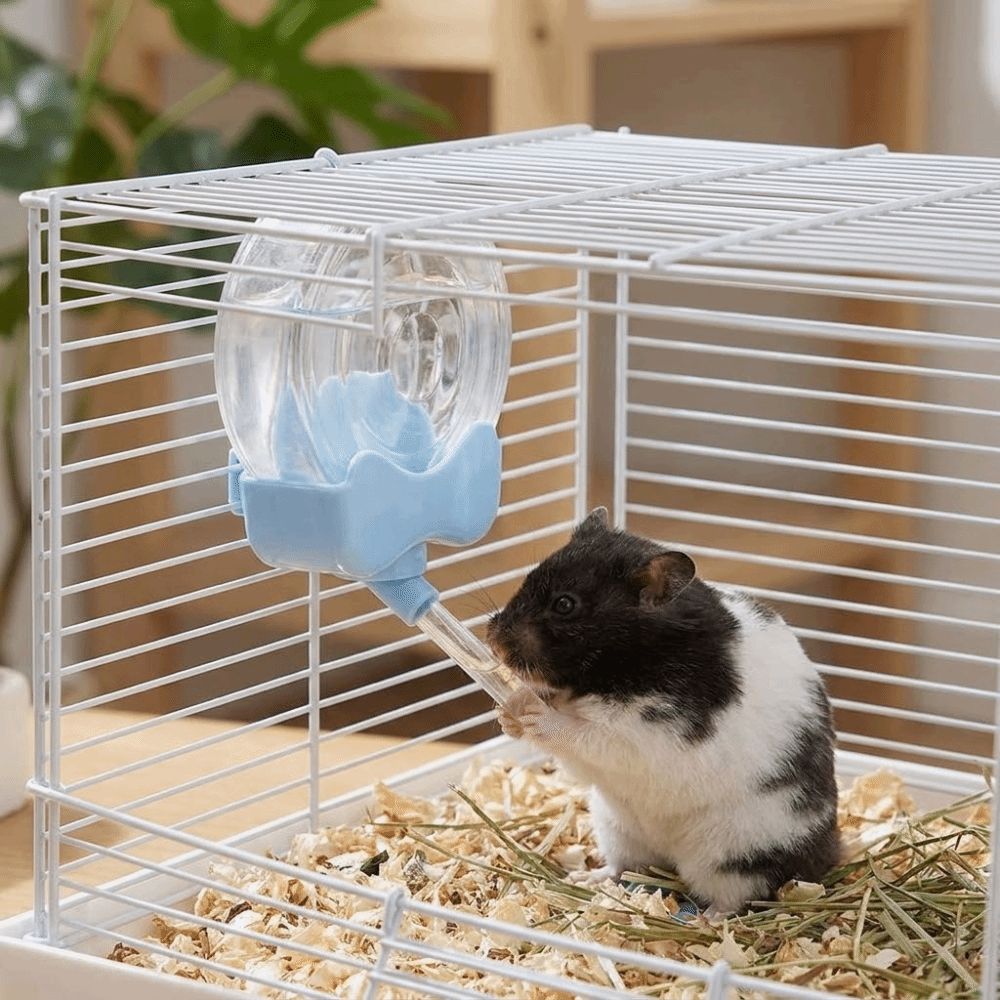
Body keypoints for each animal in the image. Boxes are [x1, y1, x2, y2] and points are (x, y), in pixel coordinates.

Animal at [486, 507, 840, 914]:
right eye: (529, 578)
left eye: (565, 604)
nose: (491, 641)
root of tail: (829, 855)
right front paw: (511, 708)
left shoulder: (646, 735)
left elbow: (581, 734)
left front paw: (532, 712)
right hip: (617, 827)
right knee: (624, 868)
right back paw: (585, 879)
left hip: (735, 854)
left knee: (739, 895)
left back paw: (708, 919)